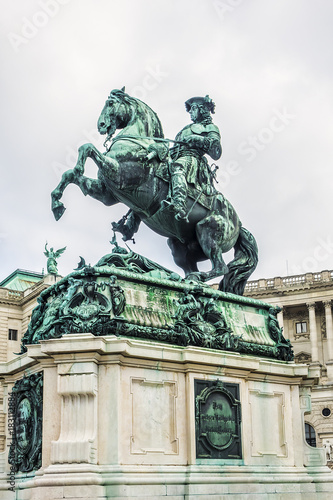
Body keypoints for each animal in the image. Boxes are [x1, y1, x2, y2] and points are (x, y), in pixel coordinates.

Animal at [51, 88, 256, 294]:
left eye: (110, 103)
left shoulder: (119, 175)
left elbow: (88, 148)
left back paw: (198, 277)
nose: (101, 125)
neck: (138, 142)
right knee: (191, 268)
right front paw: (57, 203)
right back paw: (185, 280)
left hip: (207, 231)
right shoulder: (106, 193)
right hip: (178, 246)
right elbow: (71, 173)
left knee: (221, 267)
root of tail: (238, 224)